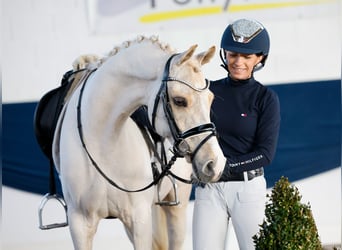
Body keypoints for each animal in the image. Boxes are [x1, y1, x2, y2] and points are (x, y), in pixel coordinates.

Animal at [52, 35, 226, 250]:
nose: (215, 164)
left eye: (210, 99)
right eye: (179, 101)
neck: (102, 143)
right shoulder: (79, 224)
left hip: (178, 206)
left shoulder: (139, 220)